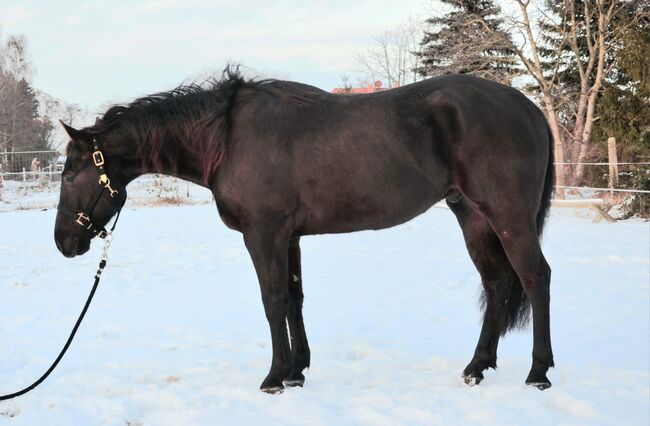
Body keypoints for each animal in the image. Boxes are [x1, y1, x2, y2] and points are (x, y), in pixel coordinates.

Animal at [54, 69, 552, 392]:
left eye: (70, 173)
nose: (64, 242)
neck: (228, 138)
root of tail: (529, 108)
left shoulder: (264, 233)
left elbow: (273, 300)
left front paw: (275, 376)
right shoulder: (289, 236)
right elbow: (294, 298)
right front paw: (296, 370)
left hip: (508, 216)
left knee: (535, 278)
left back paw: (538, 372)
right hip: (472, 216)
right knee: (496, 283)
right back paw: (478, 366)